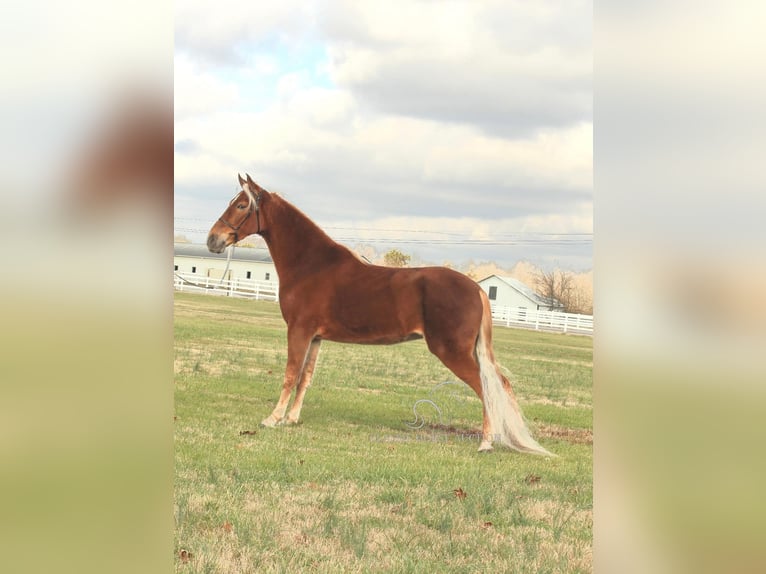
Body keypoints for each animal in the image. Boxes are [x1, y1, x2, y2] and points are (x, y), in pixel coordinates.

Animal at [206, 173, 552, 456]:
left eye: (241, 205)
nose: (213, 239)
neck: (311, 265)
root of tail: (477, 289)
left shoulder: (299, 330)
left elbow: (291, 374)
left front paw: (273, 418)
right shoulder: (315, 337)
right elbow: (305, 377)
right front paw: (292, 418)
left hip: (452, 352)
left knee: (486, 388)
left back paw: (486, 442)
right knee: (501, 384)